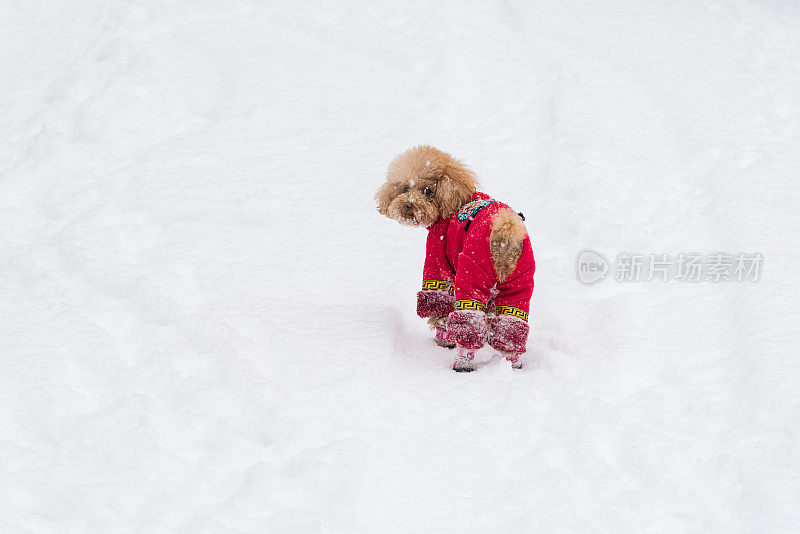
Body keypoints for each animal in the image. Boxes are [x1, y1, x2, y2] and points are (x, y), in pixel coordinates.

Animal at [376, 146, 536, 372]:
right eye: (405, 188)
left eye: (428, 190)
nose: (408, 205)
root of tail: (507, 229)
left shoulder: (437, 258)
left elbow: (441, 304)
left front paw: (444, 341)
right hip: (520, 280)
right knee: (511, 324)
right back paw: (514, 362)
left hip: (472, 270)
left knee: (470, 320)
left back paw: (463, 362)